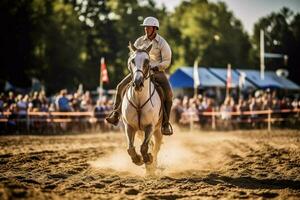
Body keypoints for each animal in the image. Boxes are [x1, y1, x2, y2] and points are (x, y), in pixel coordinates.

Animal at [121, 41, 164, 175]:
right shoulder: (129, 126)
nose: (138, 83)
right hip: (140, 132)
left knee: (156, 147)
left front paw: (148, 160)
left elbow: (145, 148)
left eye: (147, 61)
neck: (139, 101)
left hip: (158, 131)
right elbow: (131, 148)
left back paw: (152, 166)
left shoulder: (150, 126)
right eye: (132, 60)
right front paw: (138, 160)